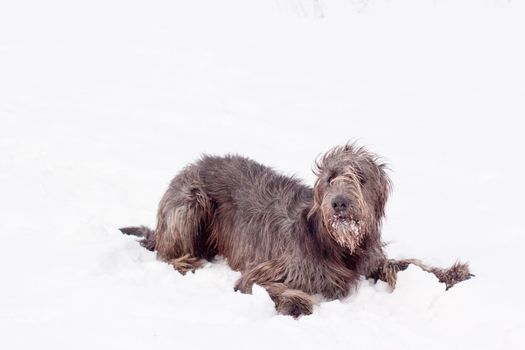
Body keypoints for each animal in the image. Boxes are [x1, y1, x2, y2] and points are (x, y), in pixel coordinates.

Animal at [121, 143, 472, 318]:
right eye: (330, 178)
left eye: (361, 178)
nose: (340, 204)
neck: (334, 244)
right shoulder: (271, 268)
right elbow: (261, 284)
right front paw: (297, 302)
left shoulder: (368, 258)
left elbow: (407, 264)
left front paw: (451, 273)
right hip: (190, 202)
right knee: (167, 255)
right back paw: (187, 262)